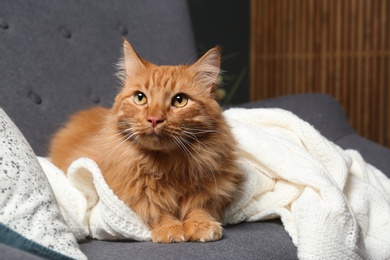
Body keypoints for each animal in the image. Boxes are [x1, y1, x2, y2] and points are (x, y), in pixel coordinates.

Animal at [48, 39, 244, 244]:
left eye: (180, 100)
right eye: (140, 98)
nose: (154, 119)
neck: (168, 165)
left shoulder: (210, 192)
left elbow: (198, 207)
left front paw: (201, 225)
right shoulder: (134, 198)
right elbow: (156, 211)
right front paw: (170, 229)